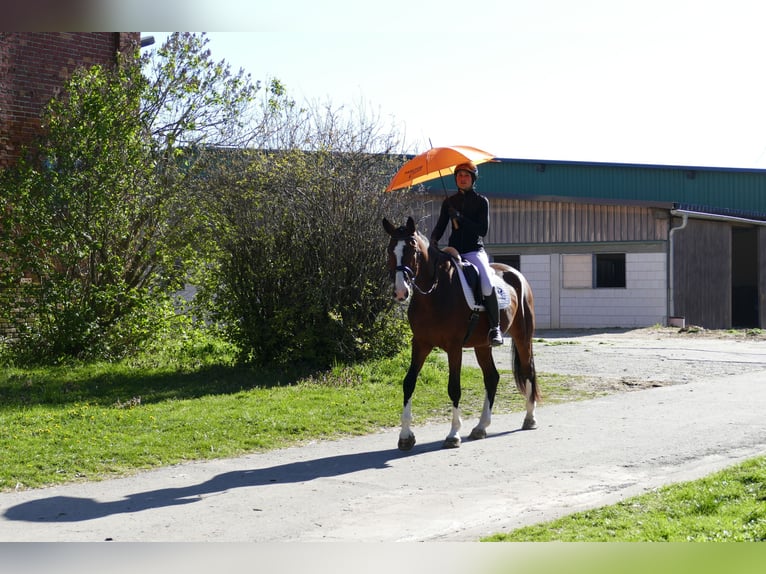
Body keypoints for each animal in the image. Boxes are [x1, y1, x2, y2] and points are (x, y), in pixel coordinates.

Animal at [382, 216, 539, 450]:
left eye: (413, 250)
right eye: (390, 250)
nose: (401, 292)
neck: (435, 292)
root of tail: (516, 274)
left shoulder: (454, 347)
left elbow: (454, 387)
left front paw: (453, 434)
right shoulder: (420, 344)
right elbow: (409, 382)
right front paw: (405, 436)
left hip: (522, 336)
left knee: (527, 370)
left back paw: (529, 418)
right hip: (482, 345)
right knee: (492, 377)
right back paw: (481, 427)